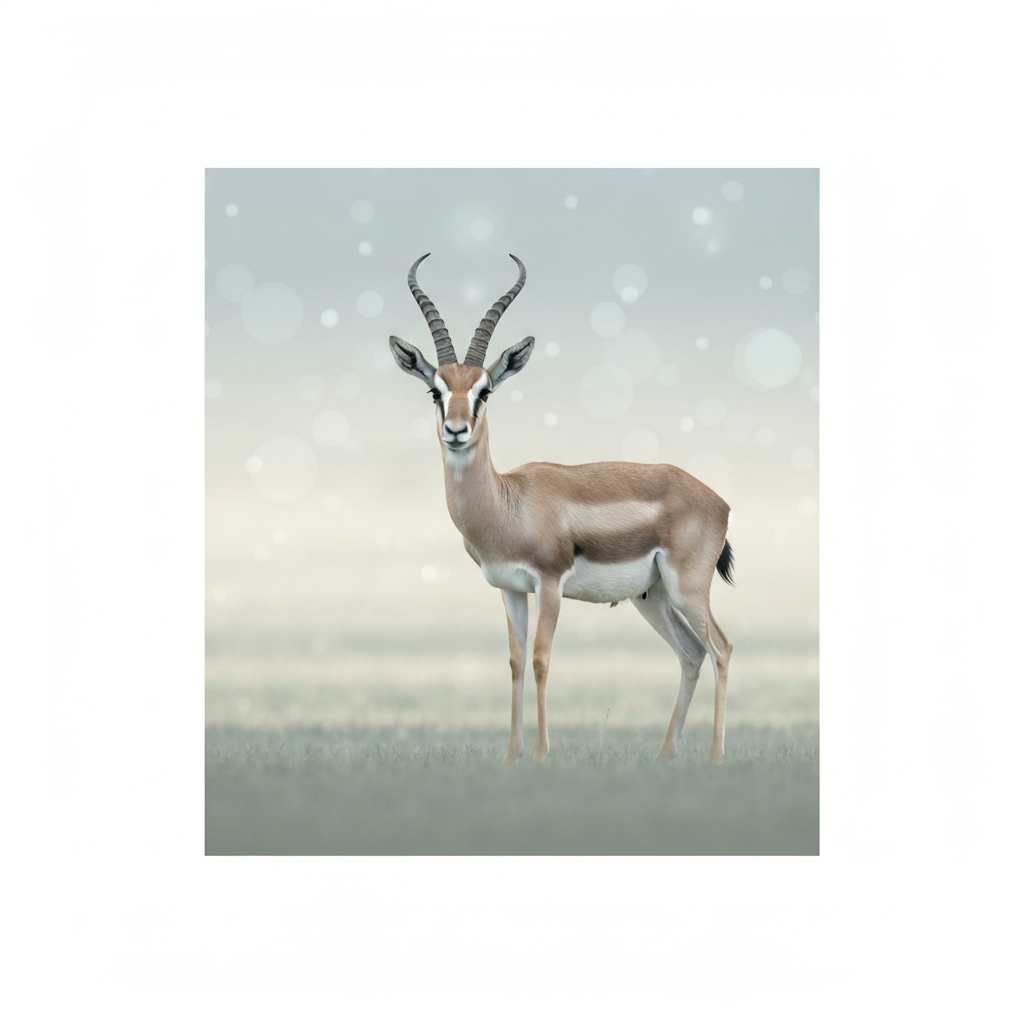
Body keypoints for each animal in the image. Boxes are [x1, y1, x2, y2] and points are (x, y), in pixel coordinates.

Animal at [389, 254, 735, 763]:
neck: (507, 503)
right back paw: (663, 756)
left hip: (688, 588)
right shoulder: (509, 588)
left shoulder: (549, 584)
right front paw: (511, 756)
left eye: (485, 391)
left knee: (721, 649)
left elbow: (540, 658)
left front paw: (539, 754)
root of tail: (716, 498)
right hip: (652, 596)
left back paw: (714, 757)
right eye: (436, 391)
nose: (456, 430)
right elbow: (514, 661)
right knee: (691, 653)